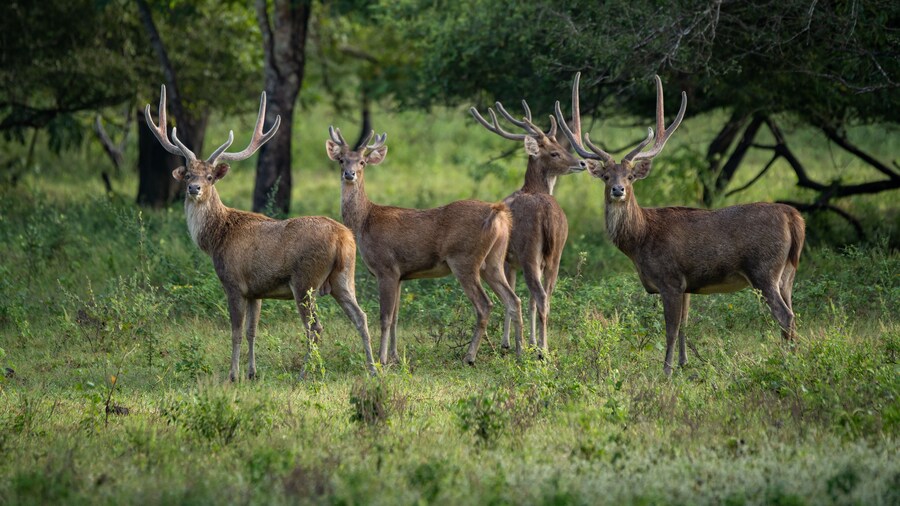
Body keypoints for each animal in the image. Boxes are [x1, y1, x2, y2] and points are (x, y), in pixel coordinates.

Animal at [145, 85, 377, 380]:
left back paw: (305, 373)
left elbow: (235, 332)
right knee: (361, 316)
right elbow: (252, 331)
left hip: (305, 280)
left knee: (315, 328)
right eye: (187, 174)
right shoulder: (256, 290)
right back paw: (373, 369)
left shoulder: (233, 282)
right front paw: (252, 373)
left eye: (209, 177)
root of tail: (343, 237)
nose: (194, 188)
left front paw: (232, 375)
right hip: (344, 277)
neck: (217, 237)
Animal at [325, 127, 524, 366]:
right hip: (493, 261)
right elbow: (396, 317)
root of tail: (498, 212)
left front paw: (382, 359)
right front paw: (395, 357)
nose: (349, 174)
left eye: (362, 162)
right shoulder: (401, 275)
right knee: (514, 300)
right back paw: (522, 352)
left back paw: (469, 357)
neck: (364, 223)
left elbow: (385, 317)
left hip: (464, 259)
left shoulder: (386, 268)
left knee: (485, 305)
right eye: (341, 160)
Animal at [469, 100, 585, 358]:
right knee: (546, 296)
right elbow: (528, 300)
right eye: (555, 152)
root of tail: (547, 214)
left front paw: (509, 343)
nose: (582, 162)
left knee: (539, 295)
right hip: (556, 254)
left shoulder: (508, 259)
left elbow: (512, 295)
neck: (532, 188)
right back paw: (543, 346)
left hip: (529, 251)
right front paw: (529, 341)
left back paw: (543, 350)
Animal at [555, 73, 805, 375]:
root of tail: (794, 217)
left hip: (764, 268)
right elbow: (685, 325)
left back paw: (786, 362)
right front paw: (685, 364)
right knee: (792, 313)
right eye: (606, 176)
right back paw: (794, 356)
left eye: (630, 176)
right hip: (787, 272)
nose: (618, 190)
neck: (640, 240)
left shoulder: (670, 278)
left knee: (785, 316)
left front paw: (666, 370)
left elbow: (671, 329)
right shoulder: (687, 283)